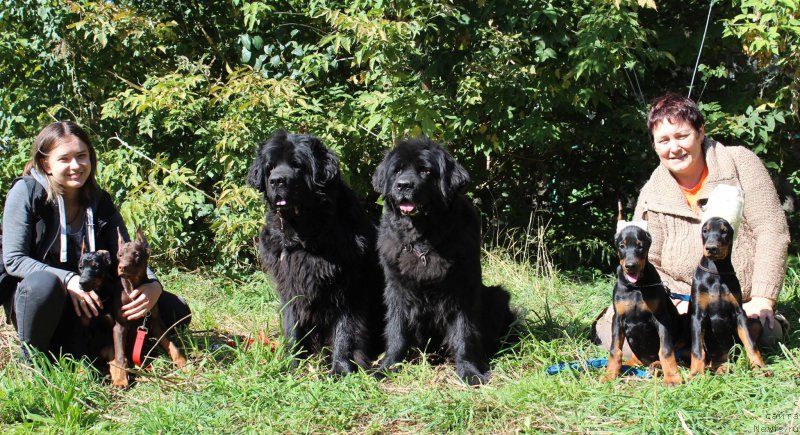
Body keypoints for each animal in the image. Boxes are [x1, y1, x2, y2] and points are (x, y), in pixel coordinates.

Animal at [250, 131, 388, 376]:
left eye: (297, 165)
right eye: (270, 167)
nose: (276, 180)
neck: (304, 235)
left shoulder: (350, 287)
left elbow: (346, 331)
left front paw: (341, 369)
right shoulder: (290, 284)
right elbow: (292, 326)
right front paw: (291, 364)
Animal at [374, 137, 516, 384]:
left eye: (425, 170)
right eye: (397, 170)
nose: (403, 185)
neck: (424, 238)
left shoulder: (462, 290)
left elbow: (464, 333)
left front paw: (470, 371)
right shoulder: (396, 288)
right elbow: (396, 330)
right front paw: (388, 366)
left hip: (498, 296)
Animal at [604, 209, 684, 386]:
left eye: (640, 246)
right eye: (622, 246)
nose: (630, 266)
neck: (636, 286)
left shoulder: (661, 318)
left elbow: (665, 349)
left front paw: (672, 377)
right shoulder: (617, 318)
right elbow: (615, 350)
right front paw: (609, 375)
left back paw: (657, 366)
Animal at [688, 186, 768, 380]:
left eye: (725, 231)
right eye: (705, 230)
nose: (711, 248)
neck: (717, 273)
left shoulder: (739, 313)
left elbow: (751, 344)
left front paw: (760, 368)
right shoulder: (697, 316)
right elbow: (697, 349)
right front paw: (695, 374)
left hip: (753, 323)